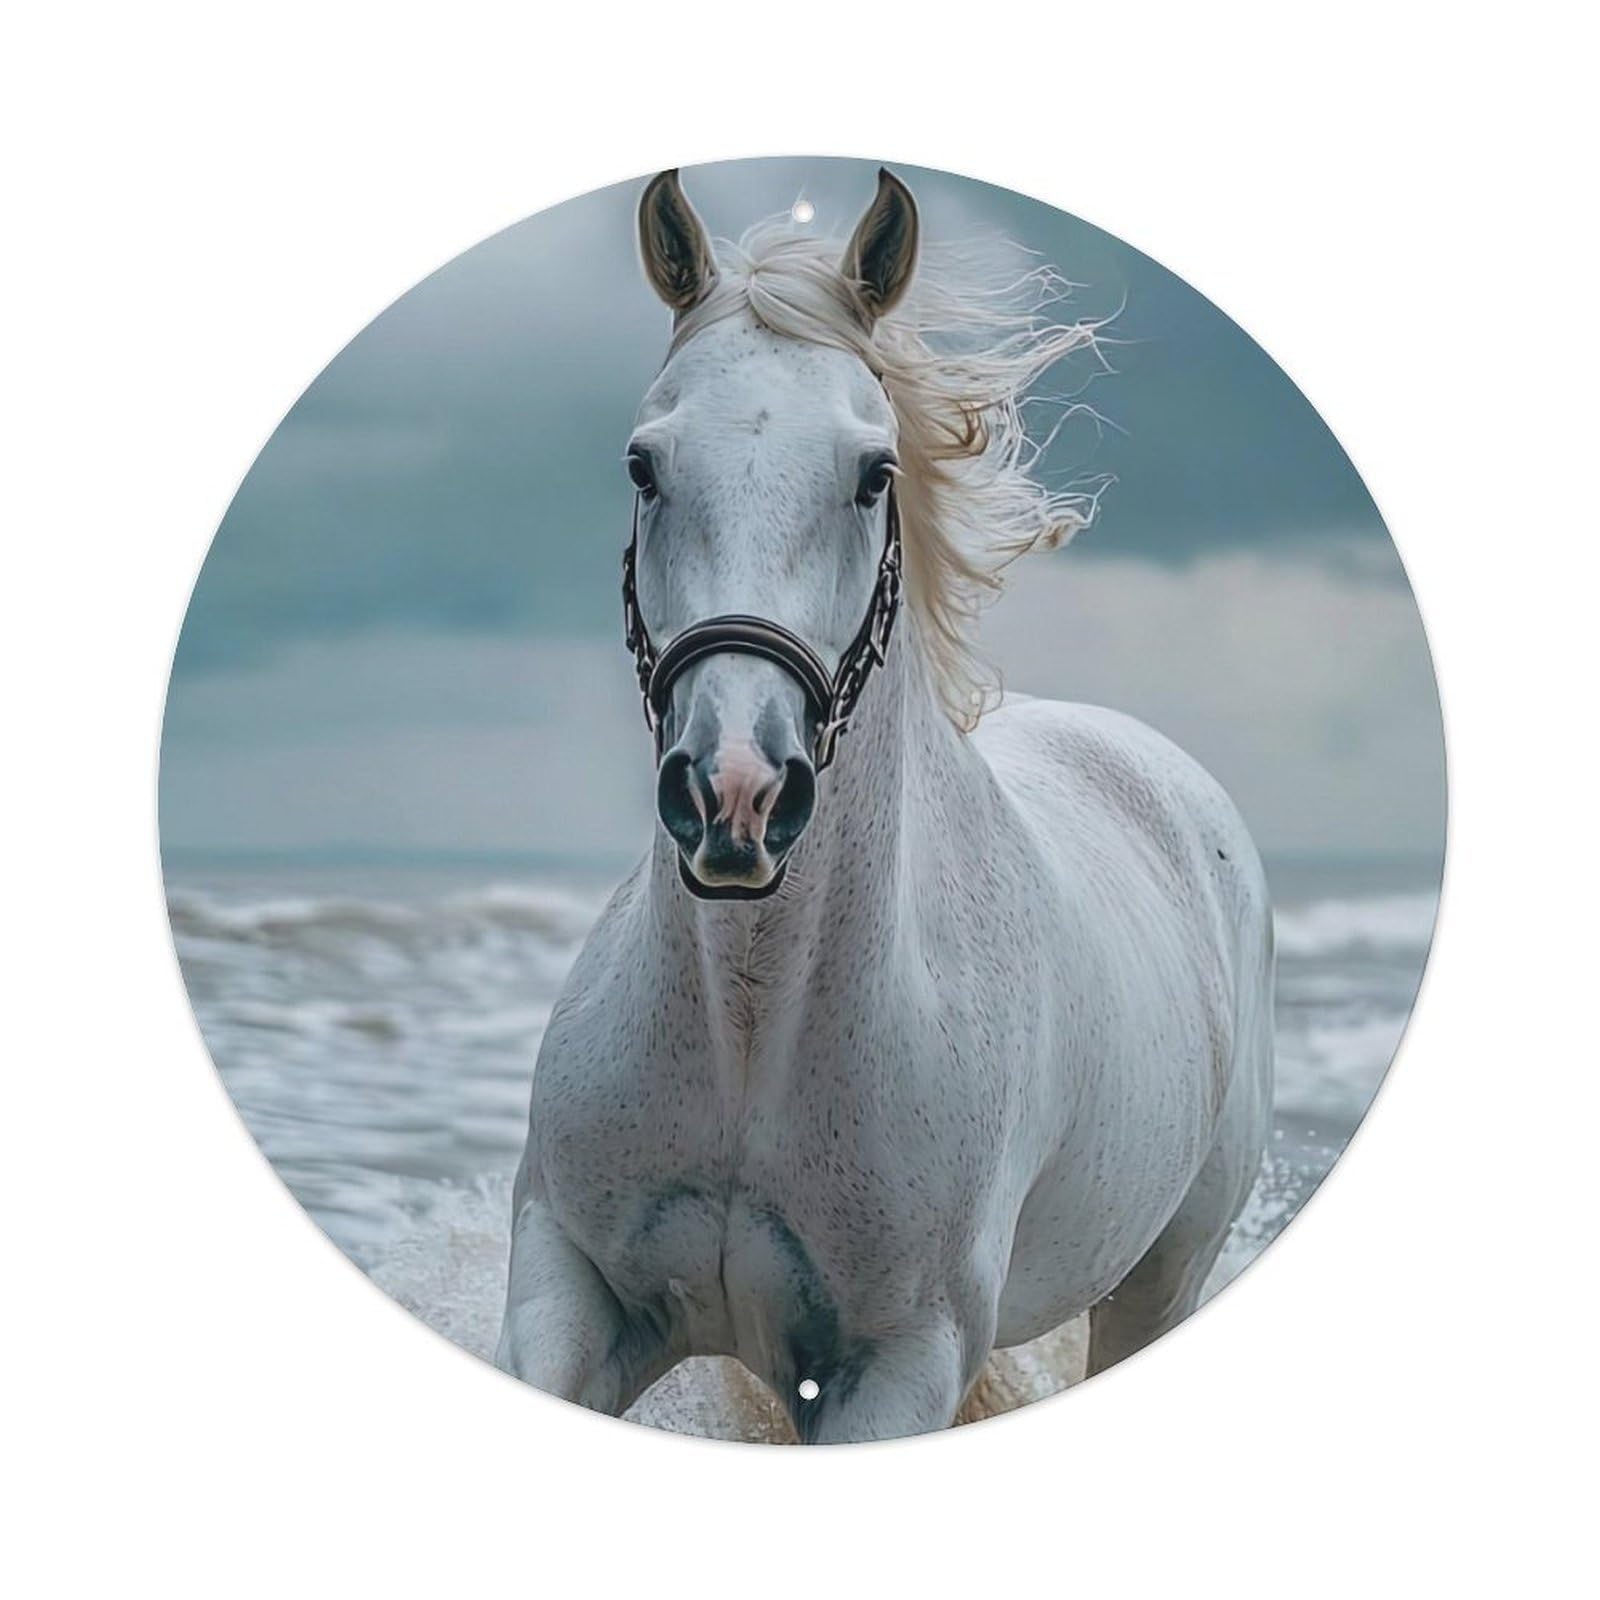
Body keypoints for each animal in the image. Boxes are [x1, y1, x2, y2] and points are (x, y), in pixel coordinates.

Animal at [496, 168, 1274, 1443]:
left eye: (873, 474)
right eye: (643, 465)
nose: (736, 794)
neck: (753, 1037)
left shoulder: (900, 1364)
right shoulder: (575, 1291)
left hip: (1159, 1282)